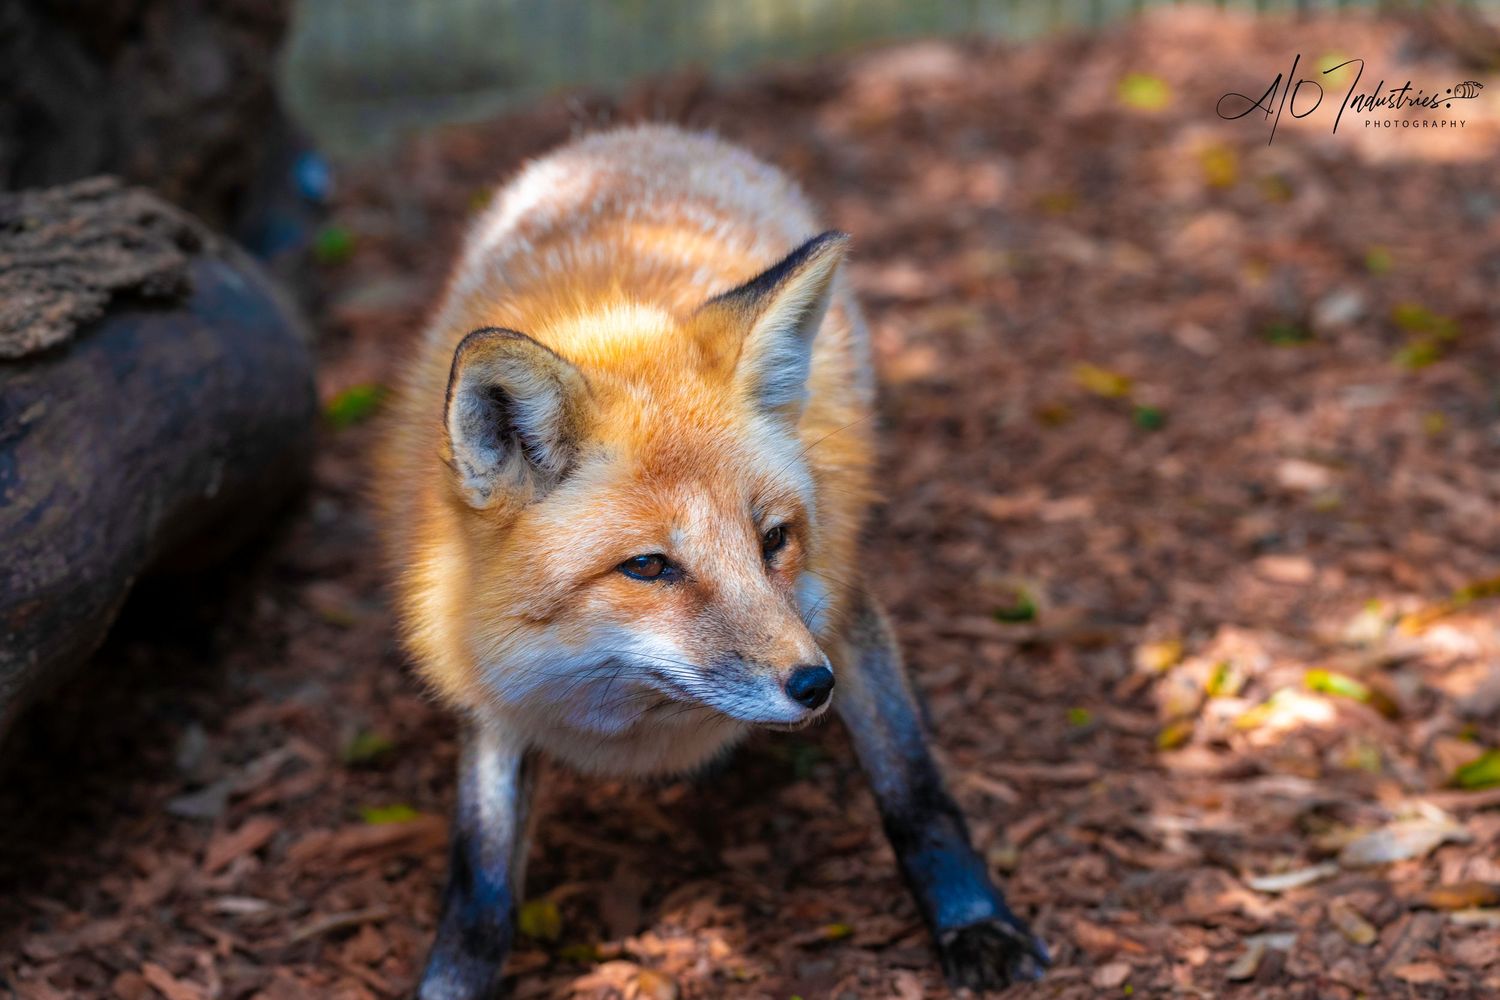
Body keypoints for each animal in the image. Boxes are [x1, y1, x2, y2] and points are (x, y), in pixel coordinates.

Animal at [380, 124, 1048, 997]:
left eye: (774, 540)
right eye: (649, 567)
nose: (814, 687)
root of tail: (643, 132)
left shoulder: (838, 607)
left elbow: (913, 786)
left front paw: (975, 921)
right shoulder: (489, 682)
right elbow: (480, 884)